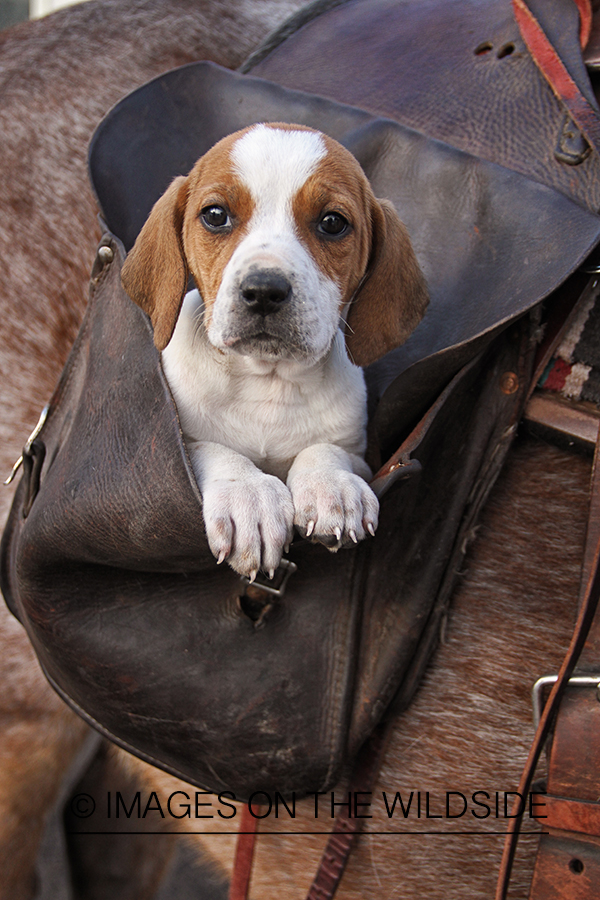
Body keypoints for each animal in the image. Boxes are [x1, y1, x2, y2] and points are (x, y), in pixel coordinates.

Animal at [120, 123, 426, 580]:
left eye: (333, 223)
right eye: (215, 215)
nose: (263, 290)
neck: (267, 380)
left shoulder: (365, 457)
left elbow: (326, 450)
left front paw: (331, 485)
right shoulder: (174, 445)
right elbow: (211, 449)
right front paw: (250, 496)